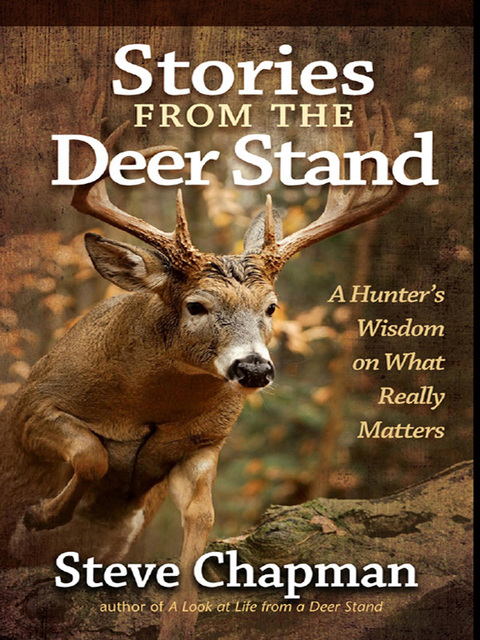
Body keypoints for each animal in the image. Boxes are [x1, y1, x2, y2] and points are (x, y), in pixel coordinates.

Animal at [0, 92, 408, 639]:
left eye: (272, 307)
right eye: (196, 305)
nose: (253, 370)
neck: (146, 406)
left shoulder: (203, 443)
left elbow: (203, 517)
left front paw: (180, 620)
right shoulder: (33, 407)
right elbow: (92, 454)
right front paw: (38, 516)